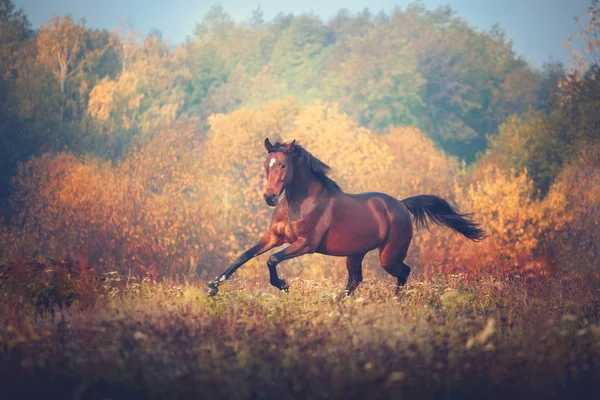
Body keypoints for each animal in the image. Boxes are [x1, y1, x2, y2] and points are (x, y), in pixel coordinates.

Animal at [204, 138, 486, 296]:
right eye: (266, 165)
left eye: (283, 165)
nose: (270, 197)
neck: (299, 203)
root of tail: (401, 205)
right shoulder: (273, 236)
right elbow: (243, 256)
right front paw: (212, 287)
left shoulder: (305, 244)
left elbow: (272, 260)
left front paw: (283, 285)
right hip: (355, 254)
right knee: (355, 281)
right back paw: (337, 305)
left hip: (388, 256)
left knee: (403, 272)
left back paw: (396, 301)